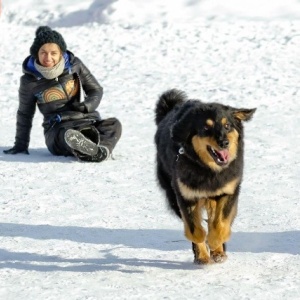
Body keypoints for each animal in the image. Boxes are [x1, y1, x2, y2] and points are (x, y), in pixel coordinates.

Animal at [155, 89, 255, 264]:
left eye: (227, 126)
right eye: (206, 128)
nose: (224, 142)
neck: (209, 170)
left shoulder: (228, 192)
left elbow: (220, 225)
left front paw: (216, 245)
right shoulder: (186, 195)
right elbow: (195, 231)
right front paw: (202, 251)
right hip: (172, 195)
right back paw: (202, 255)